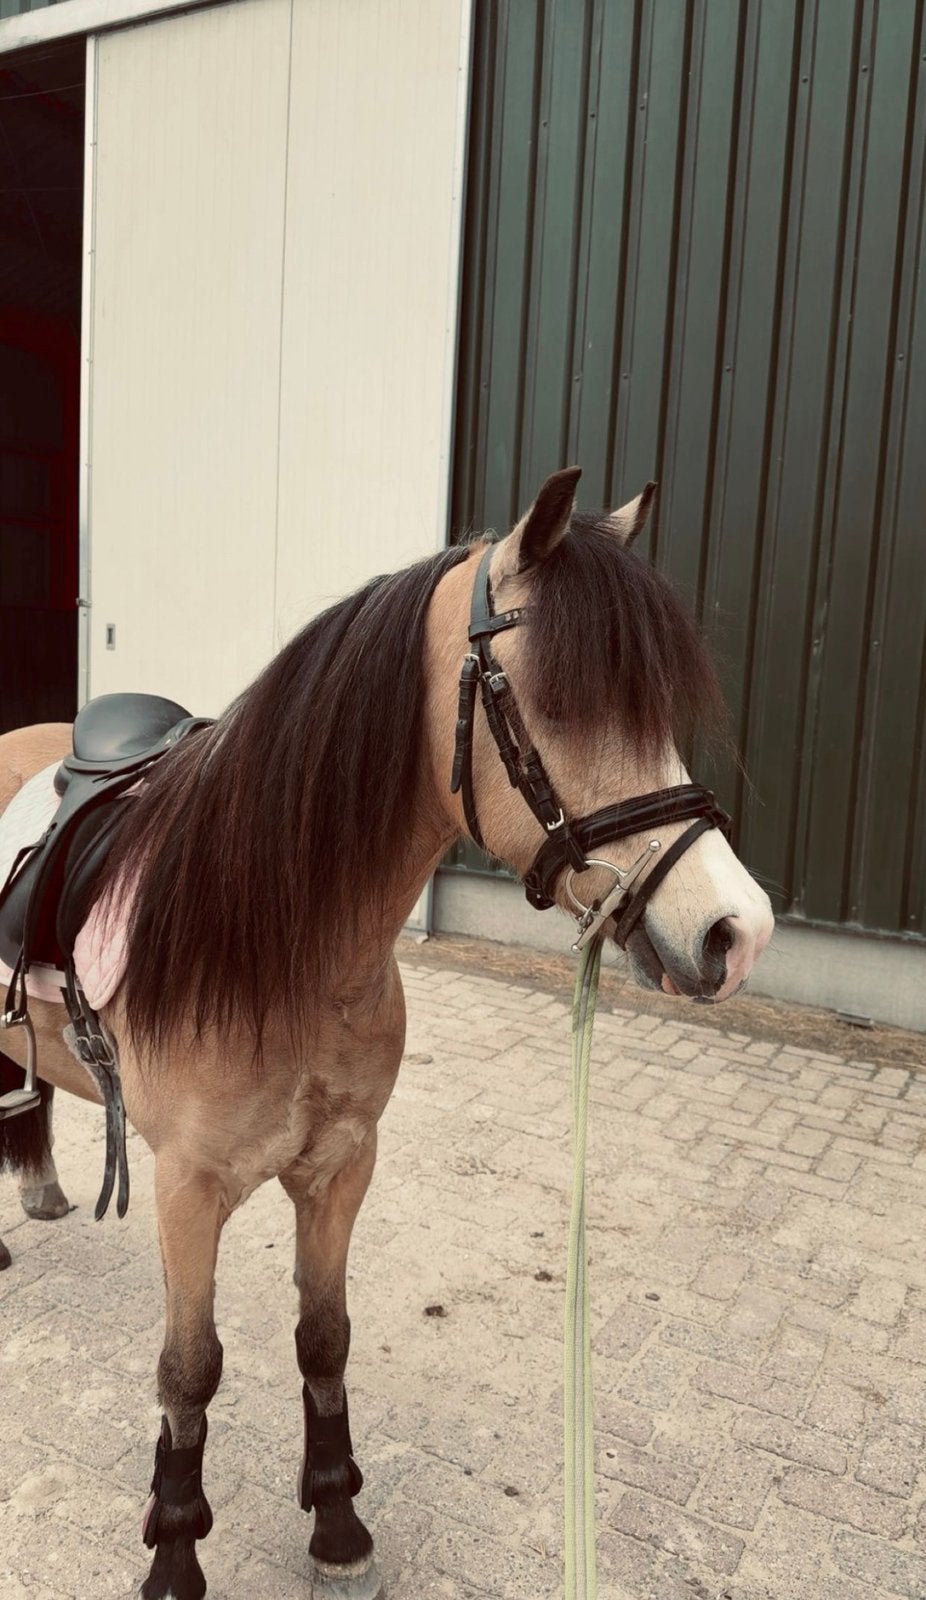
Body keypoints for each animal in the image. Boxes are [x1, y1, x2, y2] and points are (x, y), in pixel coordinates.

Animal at [0, 468, 773, 1600]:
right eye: (562, 700)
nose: (736, 931)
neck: (288, 951)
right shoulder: (187, 1188)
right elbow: (190, 1369)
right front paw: (176, 1552)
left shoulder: (341, 1166)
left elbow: (324, 1340)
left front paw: (336, 1524)